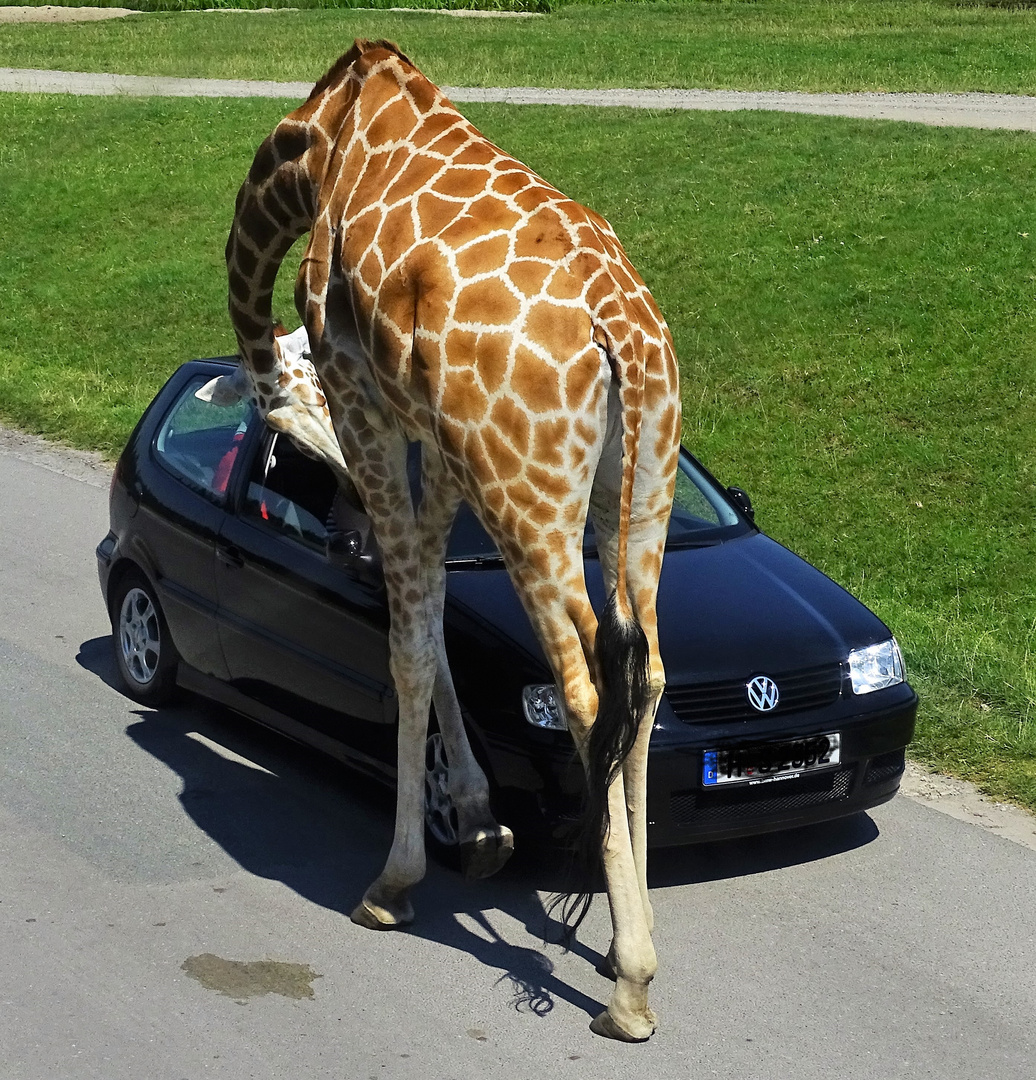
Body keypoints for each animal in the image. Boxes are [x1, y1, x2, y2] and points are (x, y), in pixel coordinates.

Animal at [220, 39, 682, 1036]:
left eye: (293, 427)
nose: (337, 495)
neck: (315, 150)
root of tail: (623, 335)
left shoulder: (366, 401)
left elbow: (407, 643)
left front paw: (394, 882)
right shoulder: (436, 443)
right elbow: (430, 620)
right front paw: (478, 824)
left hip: (529, 494)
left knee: (586, 685)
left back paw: (628, 986)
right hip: (642, 485)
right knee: (651, 673)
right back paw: (635, 930)